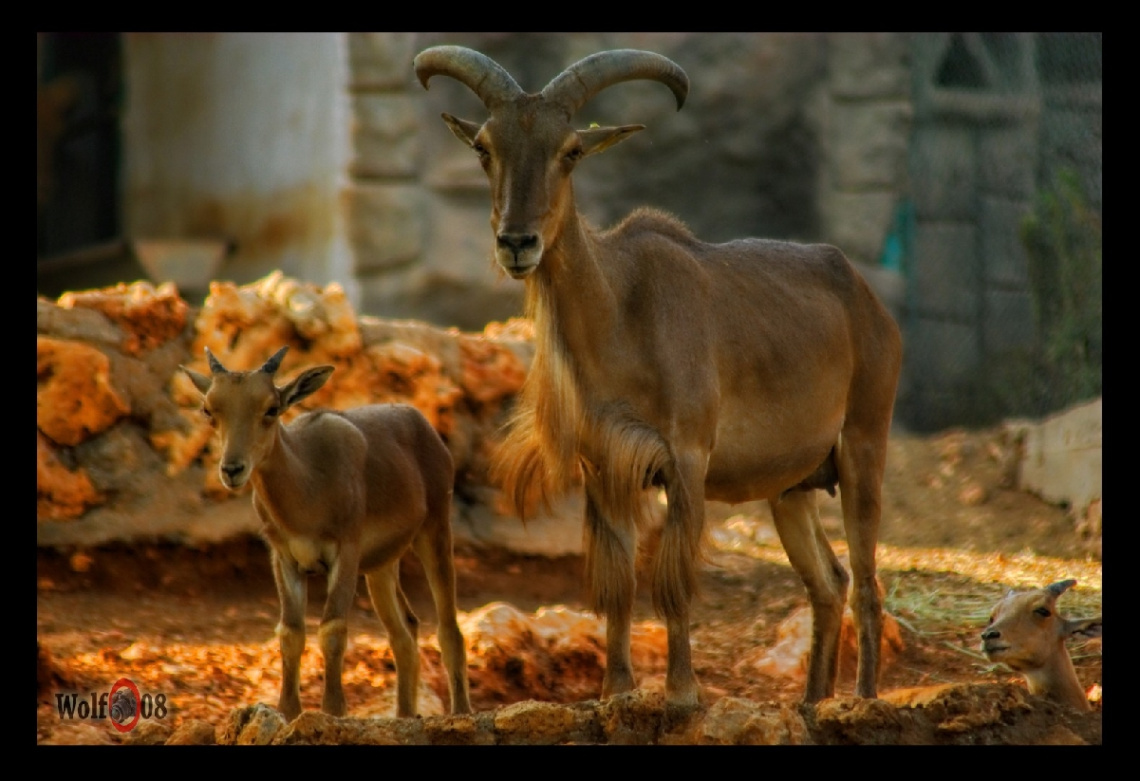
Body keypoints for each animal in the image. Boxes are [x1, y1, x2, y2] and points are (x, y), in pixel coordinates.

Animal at [184, 346, 469, 720]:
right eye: (209, 409)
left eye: (271, 408)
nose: (232, 469)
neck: (310, 484)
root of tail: (426, 428)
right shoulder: (284, 557)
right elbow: (290, 632)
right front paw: (288, 711)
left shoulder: (345, 551)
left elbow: (333, 627)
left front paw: (333, 711)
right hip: (381, 566)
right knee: (404, 630)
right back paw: (406, 715)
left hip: (435, 529)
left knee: (449, 629)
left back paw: (461, 712)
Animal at [414, 45, 902, 711]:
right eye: (485, 147)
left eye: (570, 150)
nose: (517, 243)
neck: (620, 314)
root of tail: (870, 303)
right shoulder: (606, 468)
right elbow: (618, 583)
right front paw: (616, 691)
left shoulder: (686, 460)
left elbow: (672, 584)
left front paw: (682, 693)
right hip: (791, 489)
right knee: (829, 582)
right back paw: (810, 703)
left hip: (863, 447)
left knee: (868, 586)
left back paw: (862, 699)